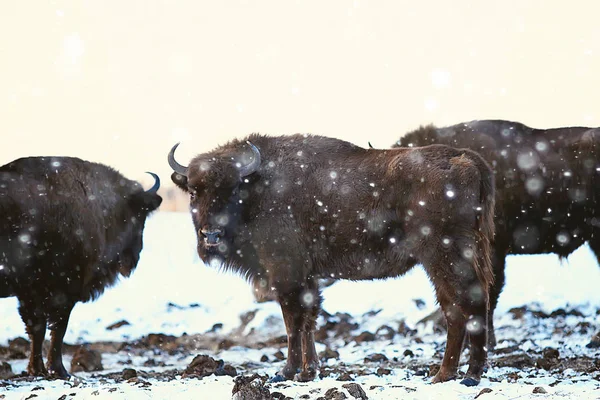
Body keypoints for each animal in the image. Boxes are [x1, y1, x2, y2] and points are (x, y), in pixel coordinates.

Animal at [0, 156, 162, 378]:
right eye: (141, 216)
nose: (134, 255)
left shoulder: (30, 294)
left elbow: (38, 329)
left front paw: (37, 369)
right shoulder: (63, 291)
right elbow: (57, 329)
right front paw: (59, 371)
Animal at [170, 134, 496, 388]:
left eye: (233, 189)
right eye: (194, 192)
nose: (211, 235)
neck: (259, 189)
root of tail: (465, 158)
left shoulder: (286, 273)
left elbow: (293, 321)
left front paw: (285, 372)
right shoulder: (308, 277)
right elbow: (309, 320)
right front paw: (308, 372)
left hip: (443, 256)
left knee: (467, 303)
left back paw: (464, 375)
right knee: (460, 307)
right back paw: (450, 374)